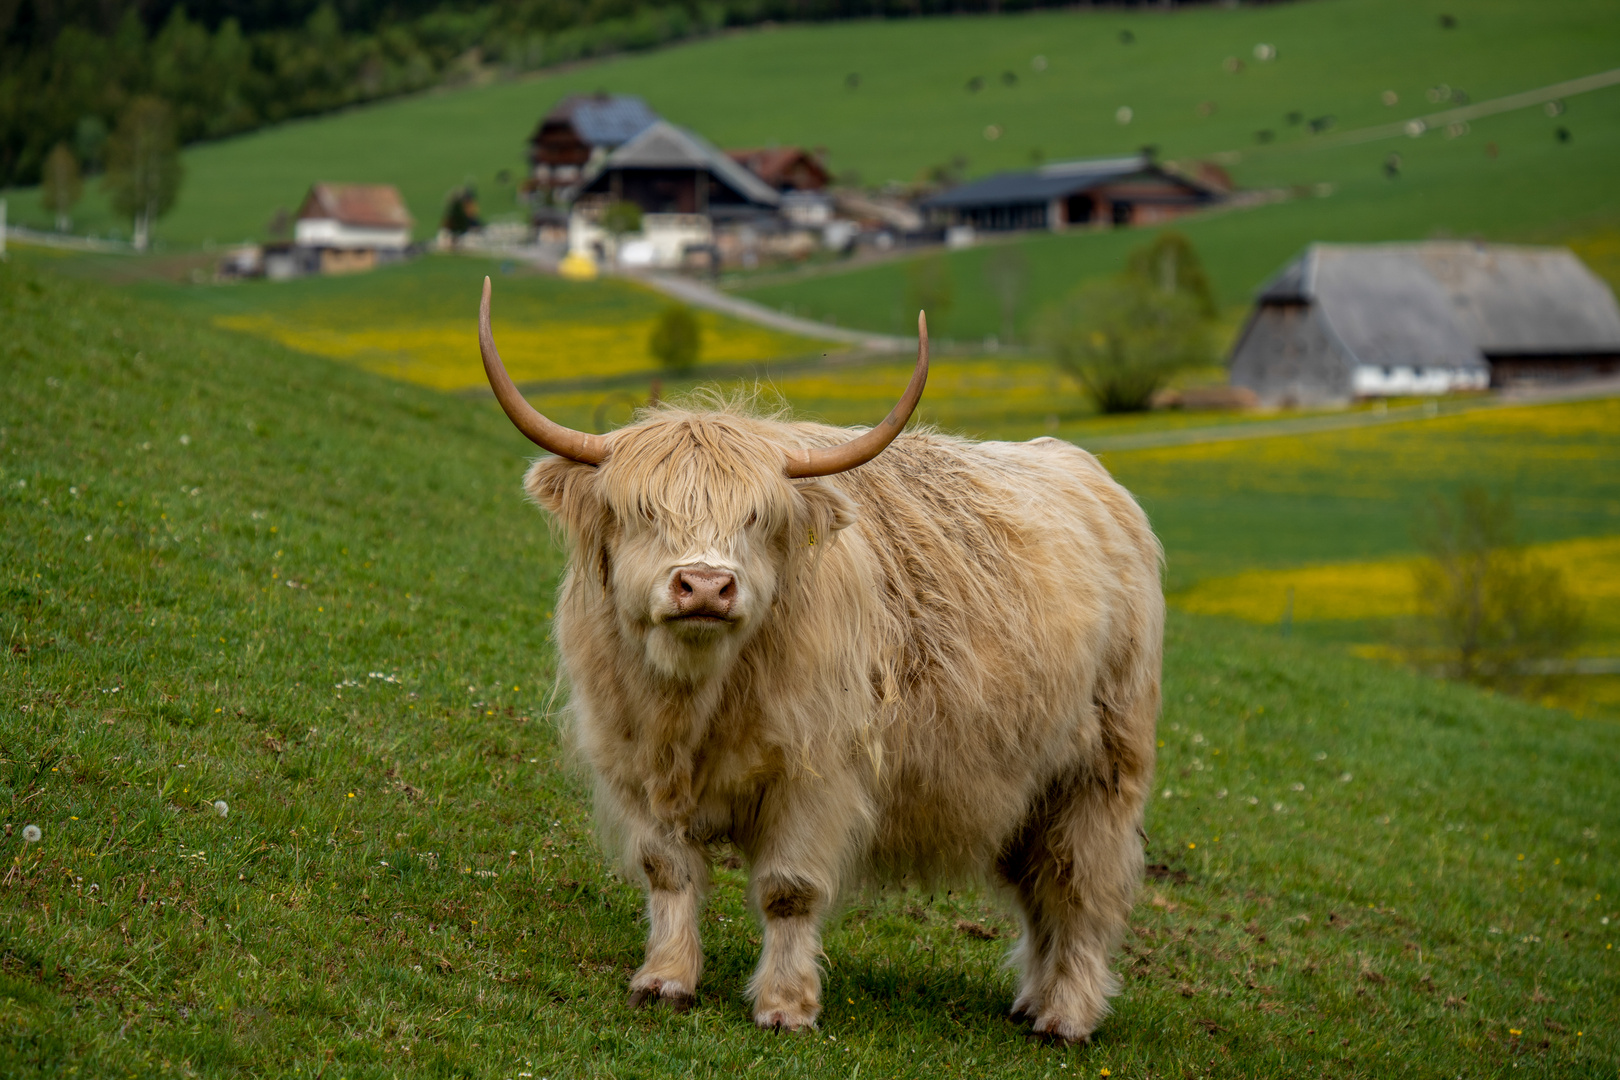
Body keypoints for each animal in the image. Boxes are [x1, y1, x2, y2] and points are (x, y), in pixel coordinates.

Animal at [479, 276, 1166, 1036]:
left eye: (757, 518)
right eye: (643, 513)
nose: (706, 585)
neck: (697, 702)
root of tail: (1091, 478)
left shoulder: (816, 775)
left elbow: (789, 891)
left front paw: (785, 1007)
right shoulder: (635, 764)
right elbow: (669, 871)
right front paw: (664, 980)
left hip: (1100, 771)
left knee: (1080, 887)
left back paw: (1065, 1017)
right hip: (1028, 785)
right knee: (1042, 887)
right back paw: (1032, 1001)